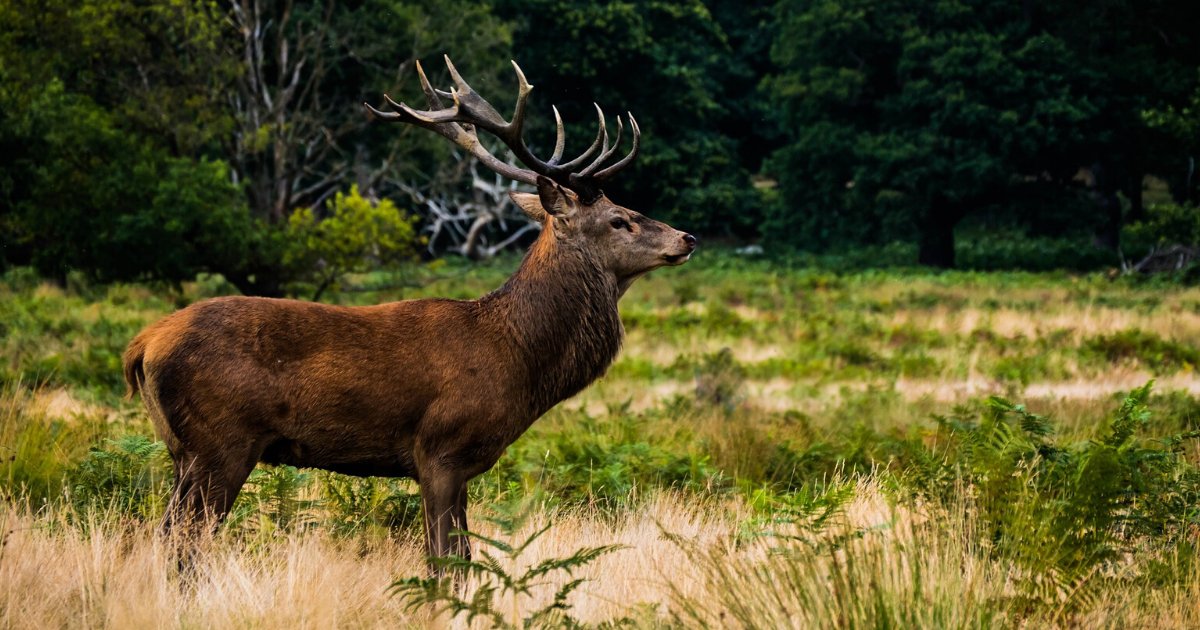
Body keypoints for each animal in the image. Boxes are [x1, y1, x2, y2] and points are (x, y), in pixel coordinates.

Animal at [119, 57, 696, 559]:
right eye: (620, 219)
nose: (686, 237)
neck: (517, 357)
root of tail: (141, 346)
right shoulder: (439, 449)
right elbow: (446, 560)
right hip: (220, 442)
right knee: (182, 545)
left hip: (182, 450)